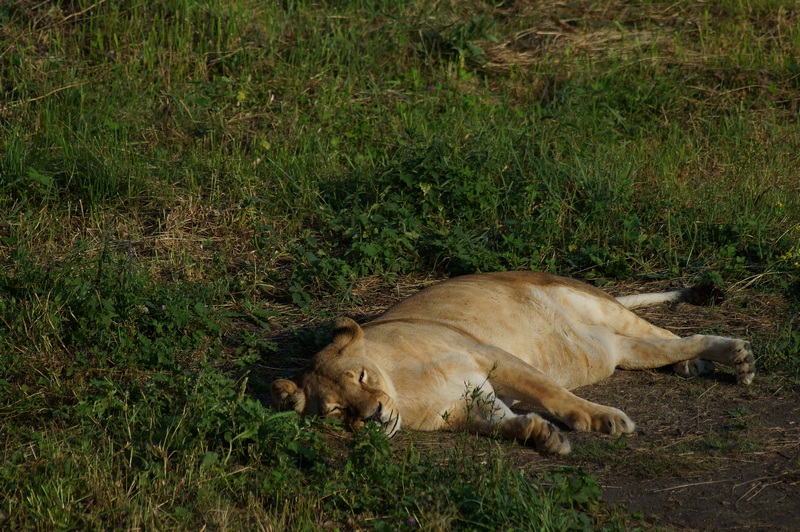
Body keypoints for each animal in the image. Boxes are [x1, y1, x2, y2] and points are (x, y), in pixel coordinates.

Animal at [272, 274, 752, 454]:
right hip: (615, 349)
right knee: (667, 347)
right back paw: (699, 365)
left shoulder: (490, 355)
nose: (372, 416)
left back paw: (734, 357)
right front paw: (541, 435)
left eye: (362, 375)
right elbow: (502, 423)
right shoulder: (464, 404)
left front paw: (602, 420)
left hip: (602, 310)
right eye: (336, 411)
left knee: (676, 335)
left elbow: (552, 394)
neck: (401, 389)